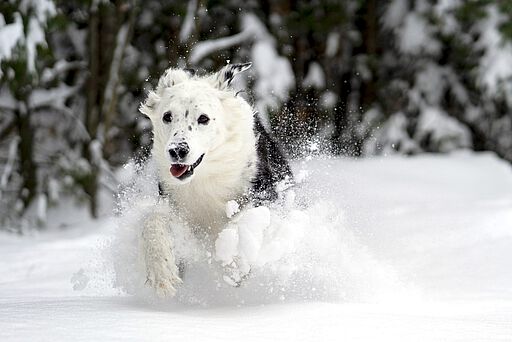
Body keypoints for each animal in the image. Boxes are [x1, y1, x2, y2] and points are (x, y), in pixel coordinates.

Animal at [139, 62, 292, 296]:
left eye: (203, 118)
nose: (177, 150)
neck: (205, 176)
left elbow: (242, 220)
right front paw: (162, 272)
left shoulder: (265, 194)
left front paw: (234, 263)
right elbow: (153, 221)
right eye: (167, 116)